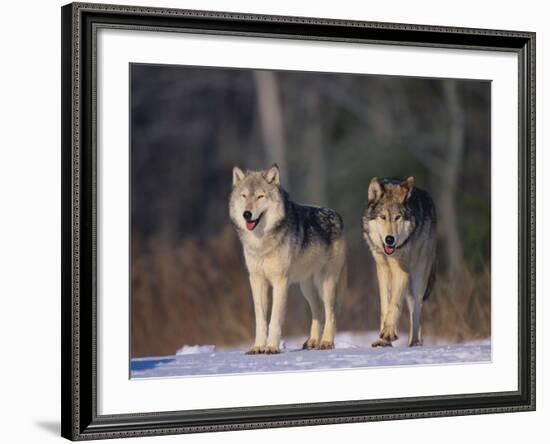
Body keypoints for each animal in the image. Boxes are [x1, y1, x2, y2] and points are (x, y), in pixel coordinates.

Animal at [231, 165, 348, 356]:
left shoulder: (280, 281)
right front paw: (258, 347)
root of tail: (337, 215)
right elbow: (260, 319)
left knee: (331, 313)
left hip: (326, 283)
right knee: (318, 311)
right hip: (306, 288)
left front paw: (271, 347)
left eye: (260, 196)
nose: (247, 214)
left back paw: (326, 342)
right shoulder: (257, 280)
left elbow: (275, 319)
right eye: (244, 196)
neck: (261, 242)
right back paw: (312, 341)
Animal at [364, 176, 438, 346]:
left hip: (418, 277)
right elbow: (385, 306)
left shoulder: (402, 271)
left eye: (397, 217)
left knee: (417, 309)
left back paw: (414, 342)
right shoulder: (382, 270)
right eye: (383, 217)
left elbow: (395, 304)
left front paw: (389, 333)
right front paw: (382, 340)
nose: (389, 239)